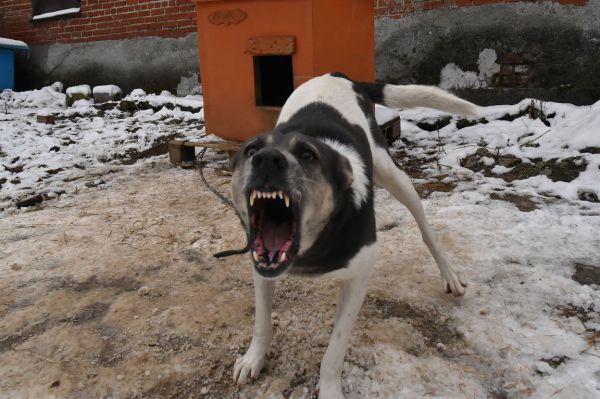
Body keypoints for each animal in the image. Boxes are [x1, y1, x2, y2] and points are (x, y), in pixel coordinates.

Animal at [229, 73, 478, 398]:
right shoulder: (261, 264)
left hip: (393, 174)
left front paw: (330, 389)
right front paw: (253, 358)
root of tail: (336, 74)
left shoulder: (361, 271)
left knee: (425, 227)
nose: (266, 159)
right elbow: (261, 322)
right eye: (250, 150)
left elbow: (335, 347)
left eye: (308, 155)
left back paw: (449, 273)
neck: (310, 246)